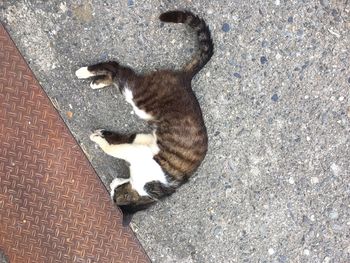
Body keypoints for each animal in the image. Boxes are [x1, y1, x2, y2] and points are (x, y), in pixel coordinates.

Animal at [75, 9, 213, 225]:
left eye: (116, 193)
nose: (111, 184)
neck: (146, 191)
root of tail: (186, 79)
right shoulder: (139, 152)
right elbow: (115, 149)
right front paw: (101, 139)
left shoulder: (143, 143)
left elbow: (121, 142)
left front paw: (102, 136)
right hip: (139, 98)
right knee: (116, 68)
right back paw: (85, 72)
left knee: (118, 73)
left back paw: (96, 82)